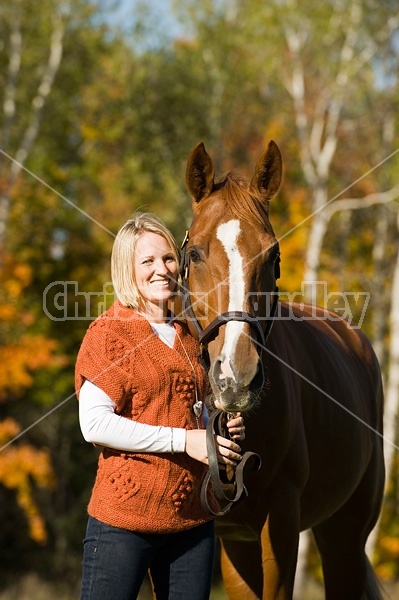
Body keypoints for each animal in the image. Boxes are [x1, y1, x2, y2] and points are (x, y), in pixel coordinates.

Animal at [180, 142, 384, 600]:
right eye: (195, 253)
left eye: (273, 254)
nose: (236, 377)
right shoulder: (231, 540)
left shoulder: (282, 523)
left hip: (345, 536)